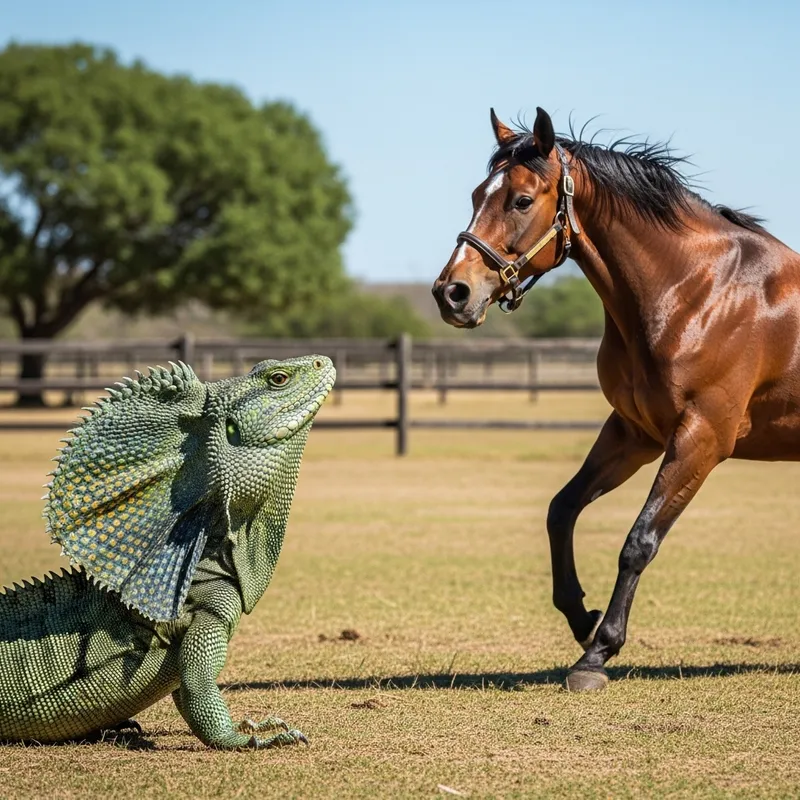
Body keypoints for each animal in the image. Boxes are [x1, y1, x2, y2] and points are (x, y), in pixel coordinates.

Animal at [432, 107, 800, 692]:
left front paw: (597, 653)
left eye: (521, 200)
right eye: (475, 195)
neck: (697, 291)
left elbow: (639, 541)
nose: (452, 293)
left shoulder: (701, 438)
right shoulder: (634, 434)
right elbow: (562, 509)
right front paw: (581, 617)